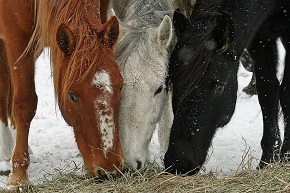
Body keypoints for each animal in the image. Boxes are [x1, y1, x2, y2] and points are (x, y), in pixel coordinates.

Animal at [0, 0, 123, 187]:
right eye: (72, 96)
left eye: (121, 86)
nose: (109, 170)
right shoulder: (16, 36)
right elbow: (25, 103)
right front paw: (18, 176)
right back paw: (6, 149)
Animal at [164, 0, 288, 175]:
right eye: (173, 82)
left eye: (219, 88)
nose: (178, 162)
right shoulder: (260, 37)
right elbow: (267, 92)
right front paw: (268, 161)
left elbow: (285, 93)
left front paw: (285, 159)